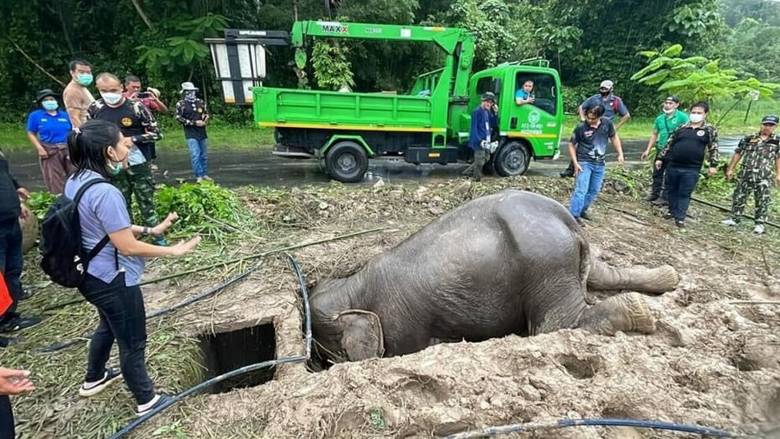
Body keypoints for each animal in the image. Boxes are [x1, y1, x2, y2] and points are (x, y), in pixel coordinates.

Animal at [308, 191, 680, 362]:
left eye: (332, 354)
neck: (353, 284)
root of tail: (568, 220)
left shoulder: (402, 324)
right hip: (566, 259)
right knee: (603, 275)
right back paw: (668, 279)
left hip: (545, 266)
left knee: (554, 325)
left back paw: (641, 313)